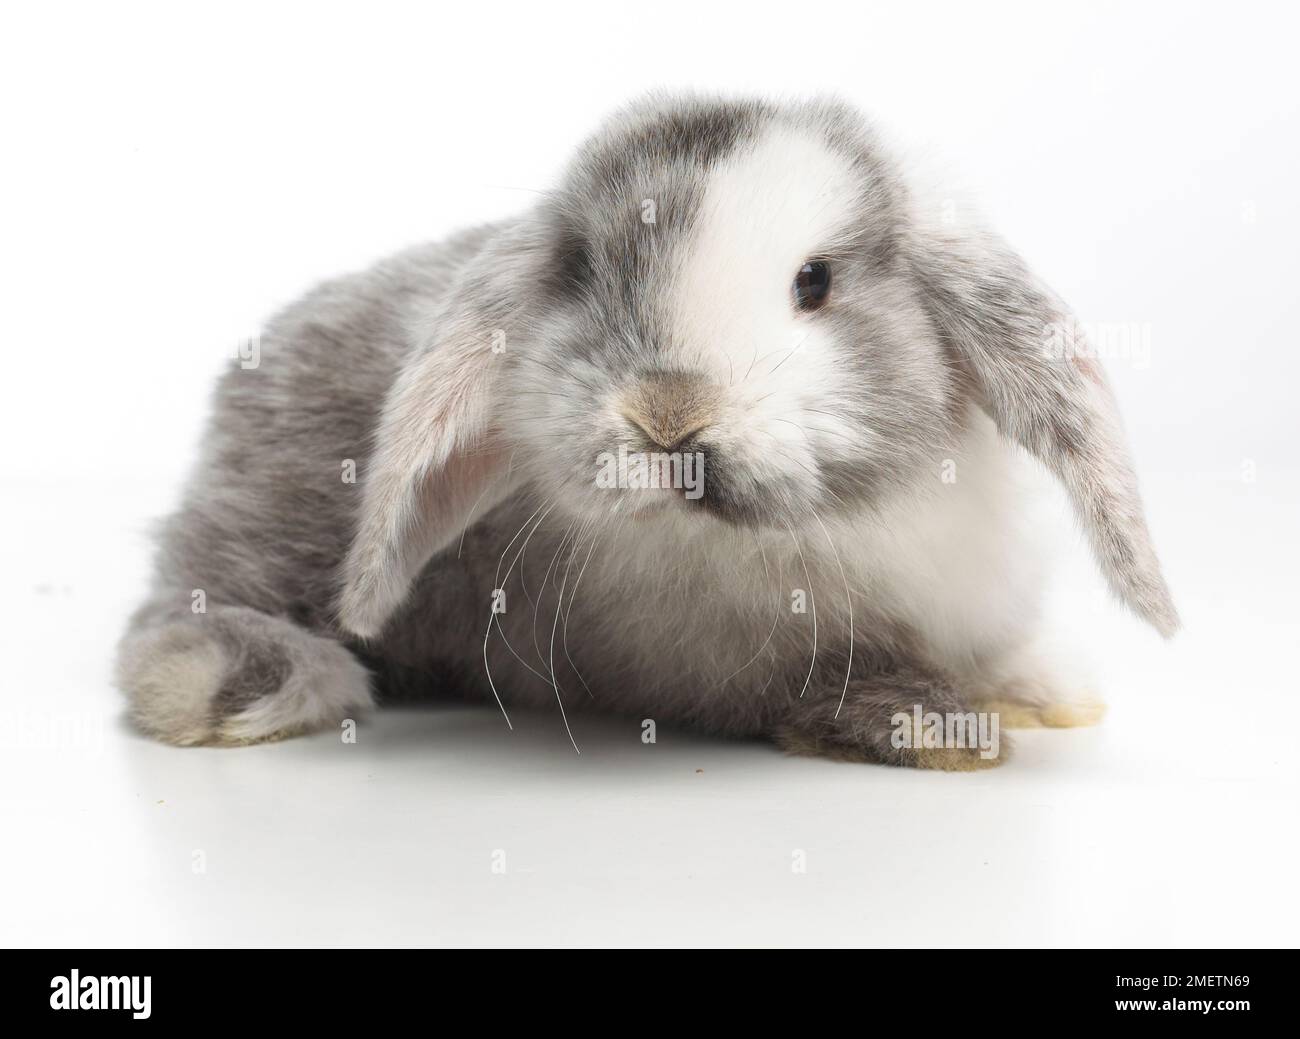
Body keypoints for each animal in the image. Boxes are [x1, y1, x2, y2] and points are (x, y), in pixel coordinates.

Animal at [116, 94, 1178, 768]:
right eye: (586, 271)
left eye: (815, 282)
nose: (667, 410)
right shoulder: (714, 671)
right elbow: (820, 688)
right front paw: (933, 726)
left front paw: (1048, 692)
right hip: (272, 519)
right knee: (180, 601)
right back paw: (229, 681)